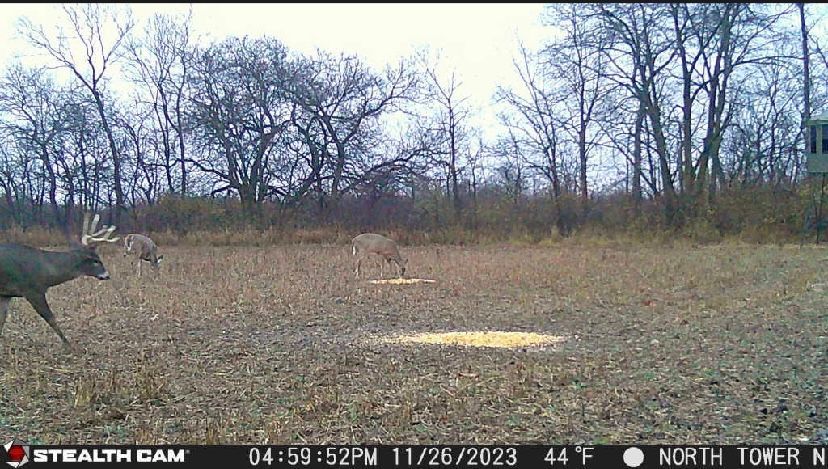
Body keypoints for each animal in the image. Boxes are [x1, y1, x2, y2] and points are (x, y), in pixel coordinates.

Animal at [0, 213, 119, 348]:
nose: (107, 275)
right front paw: (69, 345)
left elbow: (2, 320)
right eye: (96, 261)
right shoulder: (32, 290)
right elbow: (51, 319)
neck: (46, 270)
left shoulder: (6, 294)